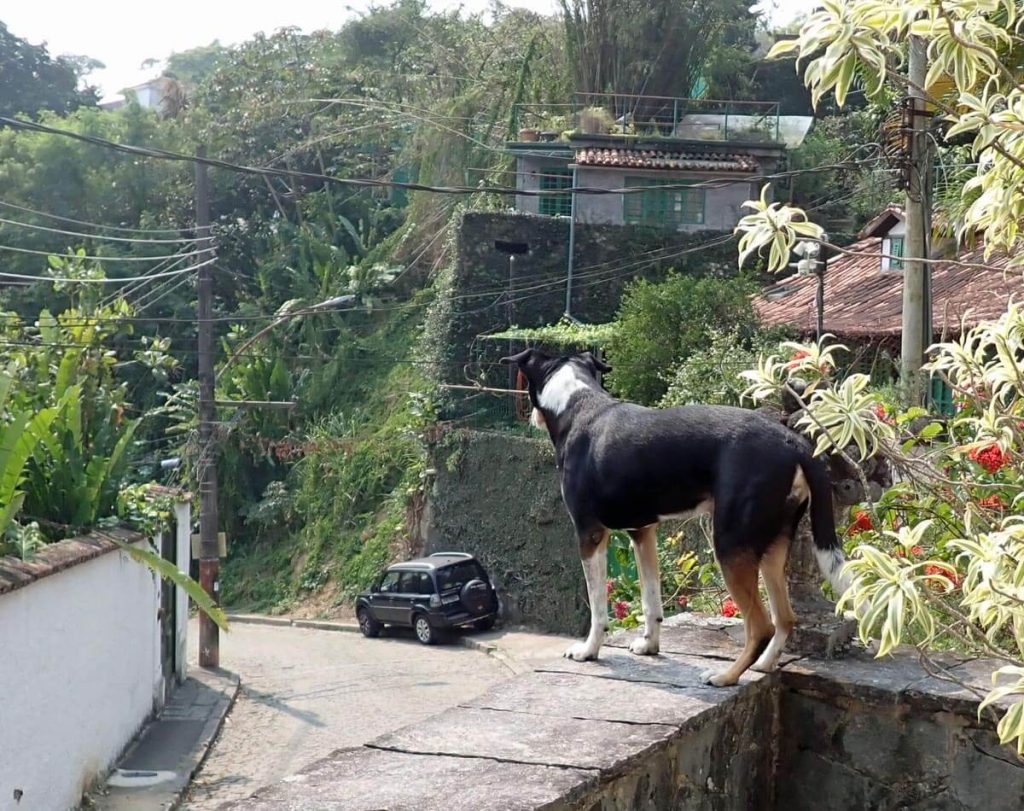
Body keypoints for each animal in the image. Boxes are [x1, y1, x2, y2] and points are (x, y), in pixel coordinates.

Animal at [501, 348, 847, 684]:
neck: (577, 402)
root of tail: (794, 443)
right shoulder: (643, 532)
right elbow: (650, 599)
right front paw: (649, 646)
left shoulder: (590, 533)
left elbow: (598, 606)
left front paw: (588, 651)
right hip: (774, 546)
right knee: (785, 618)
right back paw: (764, 665)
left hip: (731, 545)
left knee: (761, 626)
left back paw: (725, 676)